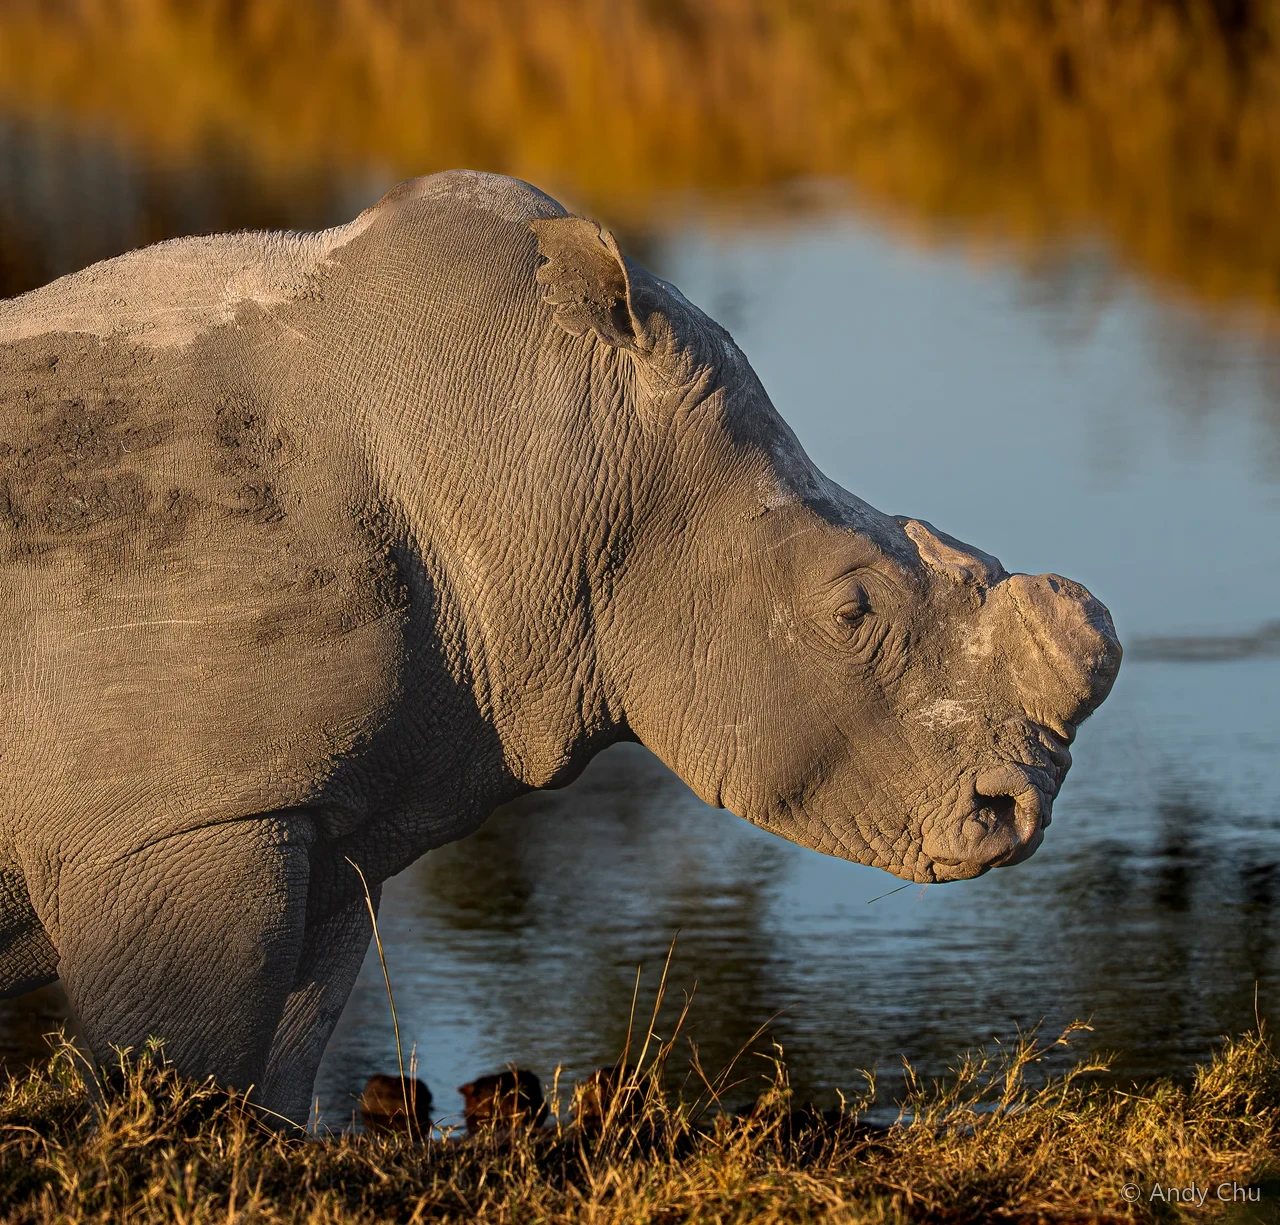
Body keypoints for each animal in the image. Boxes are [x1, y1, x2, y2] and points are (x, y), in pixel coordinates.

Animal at [0, 171, 1120, 1123]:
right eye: (853, 611)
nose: (1021, 808)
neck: (537, 458)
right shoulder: (175, 820)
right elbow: (192, 1062)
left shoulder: (323, 815)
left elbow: (282, 1056)